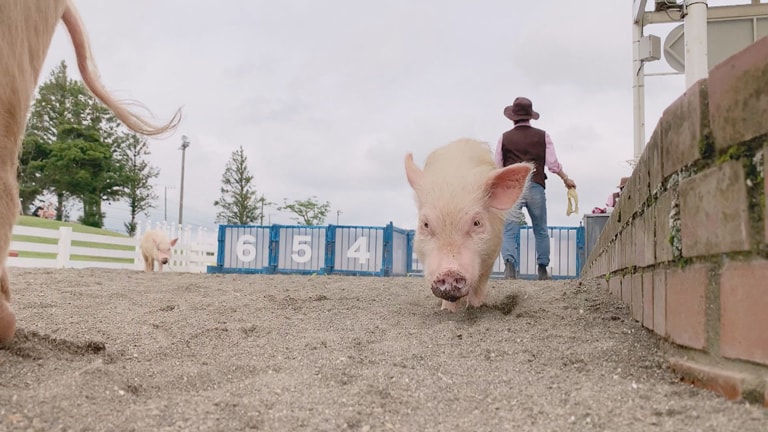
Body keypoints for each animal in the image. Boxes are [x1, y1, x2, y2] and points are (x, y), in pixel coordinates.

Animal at [404, 138, 532, 310]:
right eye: (425, 224)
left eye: (477, 223)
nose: (449, 272)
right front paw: (447, 310)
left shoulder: (491, 253)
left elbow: (480, 283)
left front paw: (476, 306)